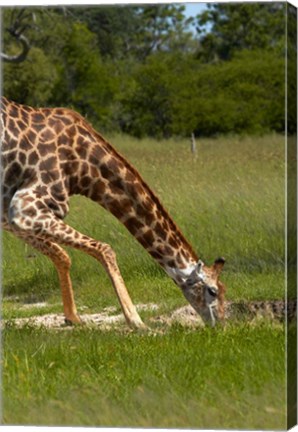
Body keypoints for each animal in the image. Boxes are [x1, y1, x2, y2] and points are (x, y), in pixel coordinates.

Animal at [0, 97, 226, 328]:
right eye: (213, 291)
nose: (222, 324)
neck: (84, 169)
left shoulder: (9, 216)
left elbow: (62, 255)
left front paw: (73, 317)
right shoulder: (25, 208)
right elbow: (104, 248)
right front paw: (136, 321)